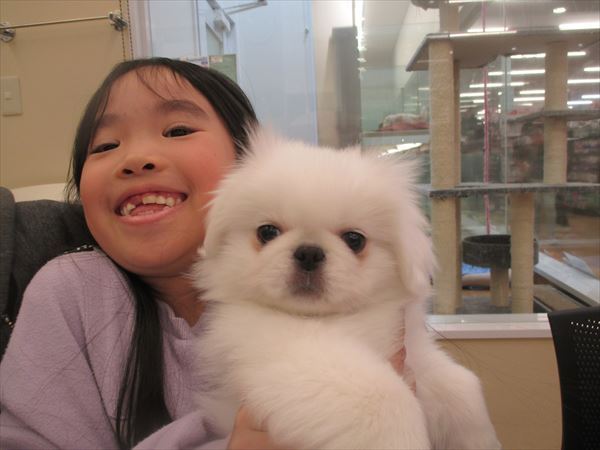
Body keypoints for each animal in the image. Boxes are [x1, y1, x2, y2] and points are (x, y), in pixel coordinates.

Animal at [192, 128, 500, 449]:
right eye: (267, 232)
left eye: (355, 239)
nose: (309, 253)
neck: (330, 320)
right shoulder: (298, 357)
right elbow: (387, 400)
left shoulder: (413, 355)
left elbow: (461, 385)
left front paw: (482, 440)